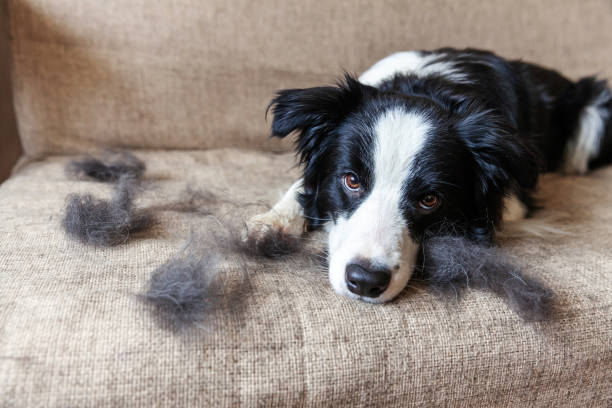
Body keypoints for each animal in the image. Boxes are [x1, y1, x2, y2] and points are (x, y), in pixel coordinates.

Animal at [245, 47, 612, 302]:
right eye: (351, 180)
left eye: (430, 199)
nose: (365, 282)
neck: (426, 88)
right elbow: (302, 188)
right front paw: (272, 222)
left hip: (594, 113)